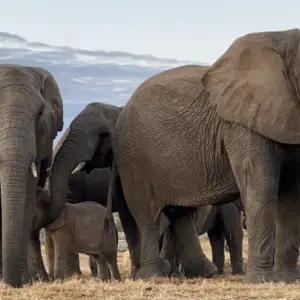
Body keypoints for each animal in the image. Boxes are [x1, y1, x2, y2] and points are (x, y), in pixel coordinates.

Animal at [110, 28, 300, 284]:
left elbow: (291, 196)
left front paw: (288, 279)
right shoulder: (240, 123)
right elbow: (260, 188)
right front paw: (262, 281)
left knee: (180, 215)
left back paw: (203, 272)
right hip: (132, 156)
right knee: (147, 214)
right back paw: (153, 276)